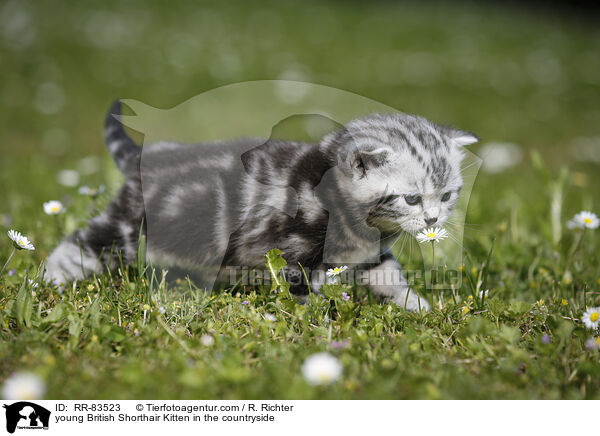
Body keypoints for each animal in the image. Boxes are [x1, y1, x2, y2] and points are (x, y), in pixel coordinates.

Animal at [45, 99, 478, 310]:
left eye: (447, 195)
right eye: (411, 198)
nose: (433, 220)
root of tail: (146, 157)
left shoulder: (369, 256)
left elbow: (390, 278)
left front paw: (420, 308)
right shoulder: (292, 253)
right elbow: (303, 294)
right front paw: (319, 324)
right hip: (127, 226)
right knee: (80, 243)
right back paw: (44, 283)